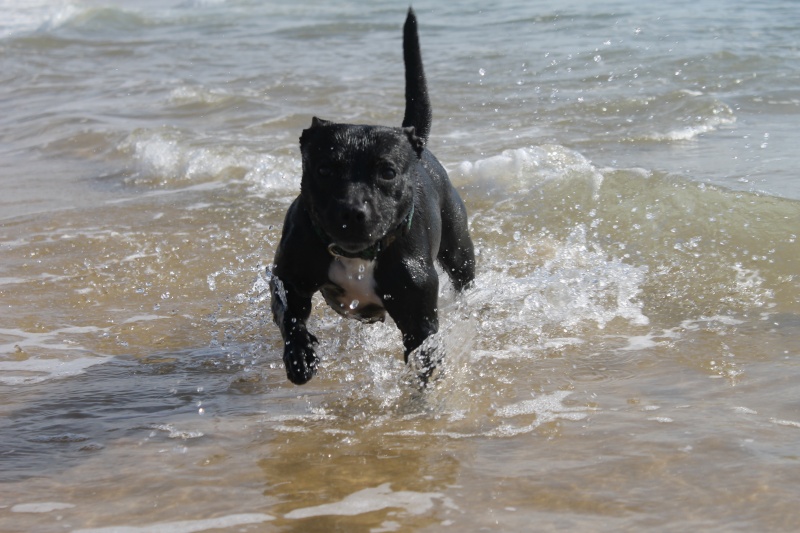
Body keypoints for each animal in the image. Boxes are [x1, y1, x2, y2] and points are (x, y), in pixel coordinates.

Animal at [268, 7, 476, 382]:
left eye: (388, 172)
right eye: (324, 169)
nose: (352, 211)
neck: (358, 256)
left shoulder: (418, 316)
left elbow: (423, 355)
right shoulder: (289, 277)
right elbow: (289, 315)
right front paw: (300, 355)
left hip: (459, 250)